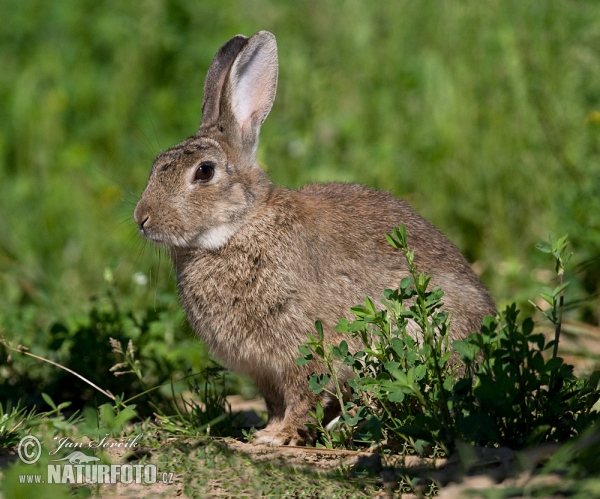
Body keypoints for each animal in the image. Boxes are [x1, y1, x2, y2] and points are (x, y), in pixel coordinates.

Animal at [136, 30, 496, 446]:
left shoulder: (301, 350)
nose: (142, 219)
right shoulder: (265, 371)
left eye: (204, 172)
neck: (241, 227)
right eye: (157, 164)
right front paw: (268, 430)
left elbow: (302, 395)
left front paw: (277, 437)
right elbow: (275, 401)